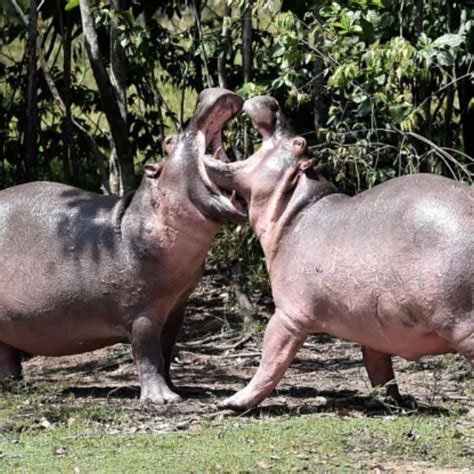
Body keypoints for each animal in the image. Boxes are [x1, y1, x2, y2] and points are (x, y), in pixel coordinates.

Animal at [0, 87, 244, 402]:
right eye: (168, 142)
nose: (207, 93)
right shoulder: (142, 312)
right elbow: (147, 354)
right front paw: (163, 399)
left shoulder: (176, 307)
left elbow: (167, 352)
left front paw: (178, 389)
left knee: (7, 355)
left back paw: (16, 385)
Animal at [203, 95, 470, 408]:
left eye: (298, 143)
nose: (272, 101)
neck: (296, 209)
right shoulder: (371, 326)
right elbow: (378, 367)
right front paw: (390, 402)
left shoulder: (288, 316)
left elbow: (270, 362)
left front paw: (231, 403)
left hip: (463, 324)